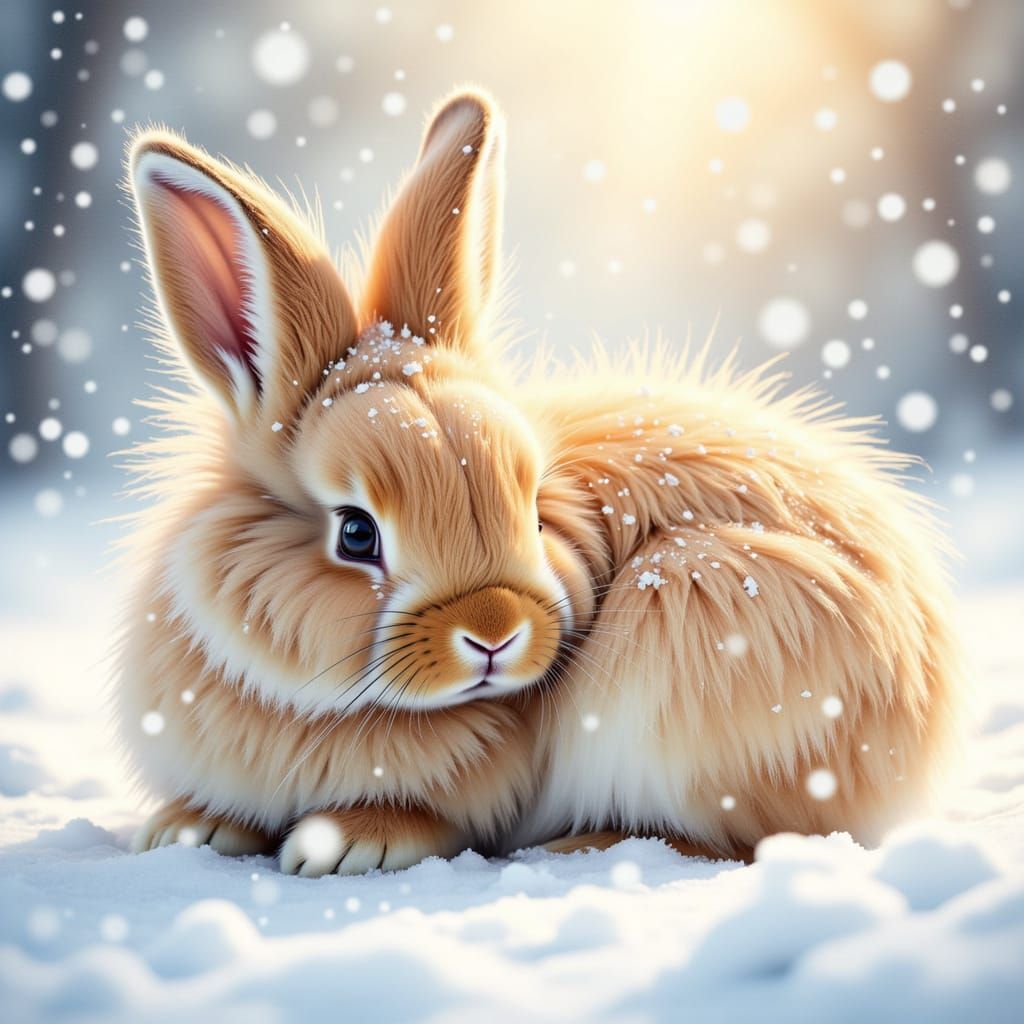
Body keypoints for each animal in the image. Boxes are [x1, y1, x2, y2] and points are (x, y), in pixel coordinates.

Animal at [119, 87, 963, 876]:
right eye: (355, 533)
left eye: (530, 511)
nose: (495, 634)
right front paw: (187, 828)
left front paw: (349, 841)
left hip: (694, 612)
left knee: (745, 838)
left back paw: (587, 844)